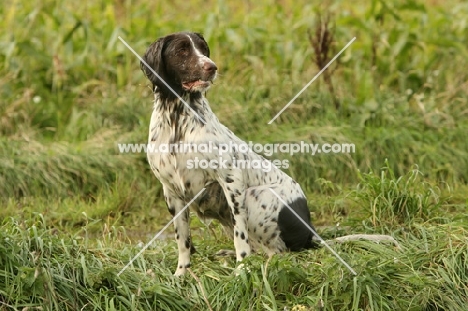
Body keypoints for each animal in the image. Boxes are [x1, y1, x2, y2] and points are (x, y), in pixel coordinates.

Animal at [141, 31, 320, 276]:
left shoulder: (231, 181)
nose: (212, 67)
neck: (177, 121)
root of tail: (310, 230)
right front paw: (181, 273)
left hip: (256, 195)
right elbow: (183, 240)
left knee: (278, 251)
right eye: (182, 50)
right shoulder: (171, 192)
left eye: (203, 48)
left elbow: (240, 236)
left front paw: (241, 269)